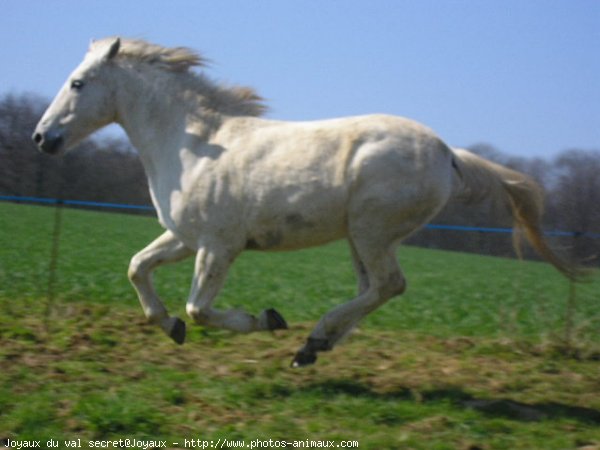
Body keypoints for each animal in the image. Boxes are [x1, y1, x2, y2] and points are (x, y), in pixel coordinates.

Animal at [31, 36, 576, 366]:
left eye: (77, 83)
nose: (42, 138)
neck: (194, 144)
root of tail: (448, 152)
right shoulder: (185, 238)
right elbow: (137, 267)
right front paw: (168, 328)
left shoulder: (218, 246)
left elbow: (200, 309)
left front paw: (265, 320)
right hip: (361, 237)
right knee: (374, 288)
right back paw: (315, 346)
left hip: (372, 231)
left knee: (388, 285)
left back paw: (311, 340)